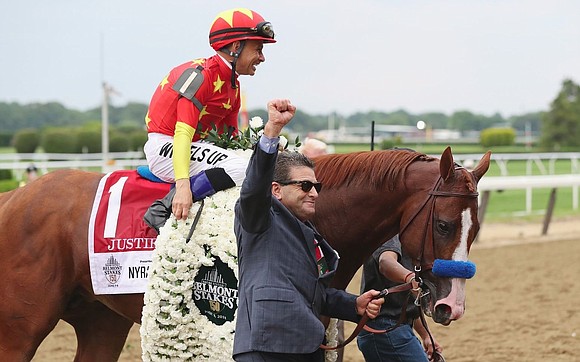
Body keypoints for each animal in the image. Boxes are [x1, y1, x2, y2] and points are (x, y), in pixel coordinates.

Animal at [0, 146, 490, 360]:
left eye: (477, 228)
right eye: (444, 225)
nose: (452, 306)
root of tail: (15, 197)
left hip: (100, 321)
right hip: (21, 329)